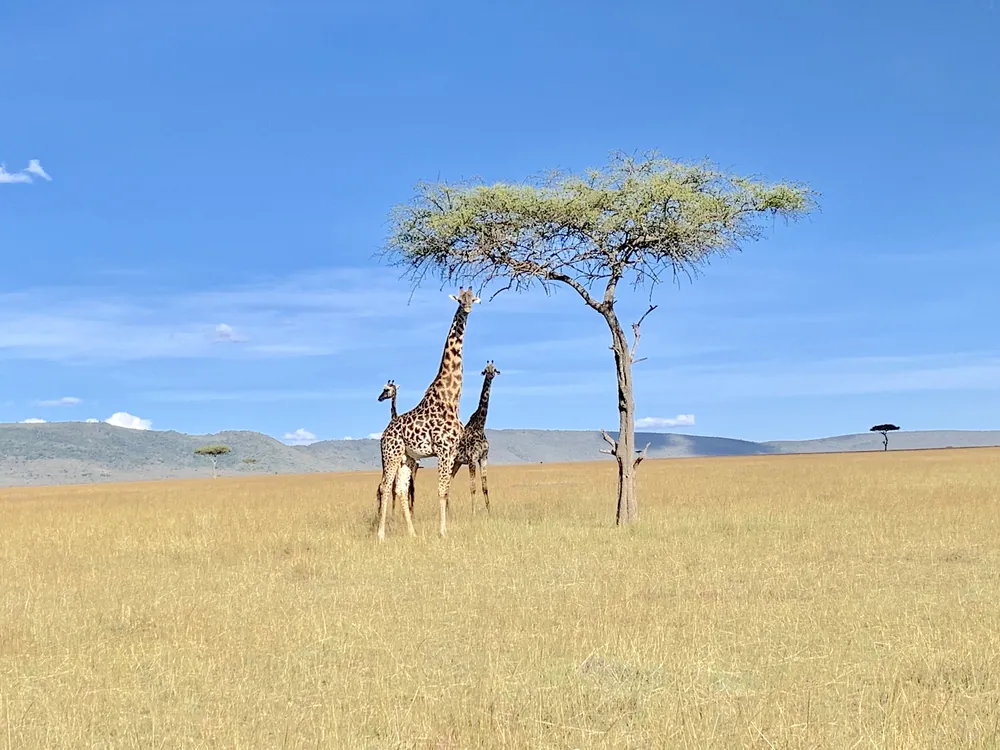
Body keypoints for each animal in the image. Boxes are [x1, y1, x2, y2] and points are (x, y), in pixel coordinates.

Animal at [450, 361, 500, 515]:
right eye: (485, 369)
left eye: (495, 369)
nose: (490, 375)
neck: (480, 425)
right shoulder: (472, 458)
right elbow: (472, 487)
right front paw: (473, 513)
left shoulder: (483, 457)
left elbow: (485, 487)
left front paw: (489, 512)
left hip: (457, 463)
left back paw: (449, 512)